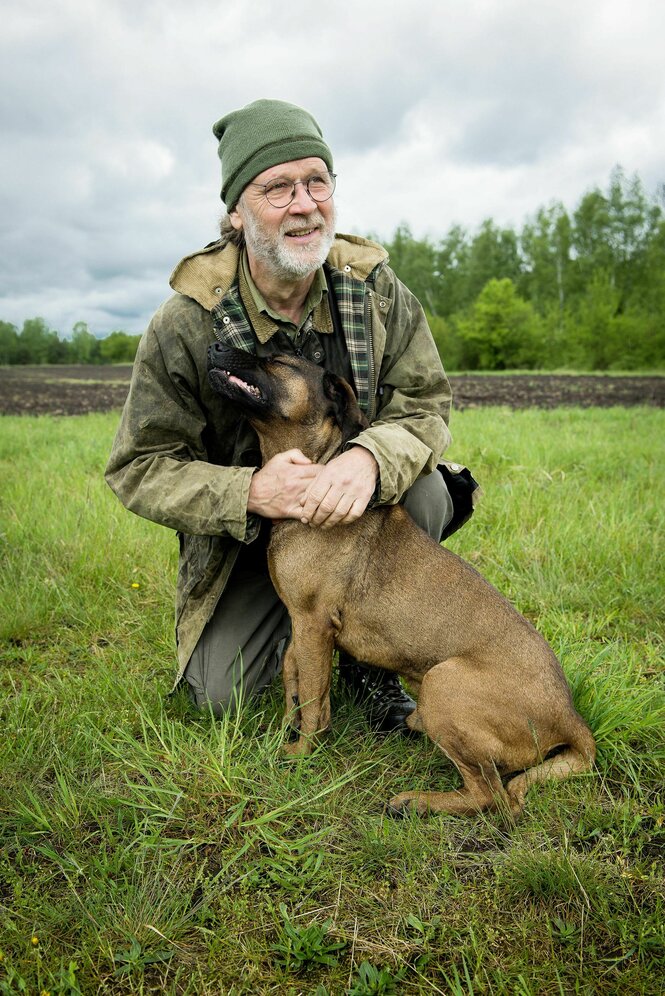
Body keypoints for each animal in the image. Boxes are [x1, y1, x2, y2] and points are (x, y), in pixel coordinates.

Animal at [206, 342, 592, 816]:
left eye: (279, 360)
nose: (216, 344)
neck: (316, 468)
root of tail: (570, 717)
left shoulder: (313, 623)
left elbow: (313, 698)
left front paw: (301, 752)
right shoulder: (301, 624)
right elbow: (293, 674)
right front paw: (285, 731)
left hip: (443, 684)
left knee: (490, 795)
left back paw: (416, 802)